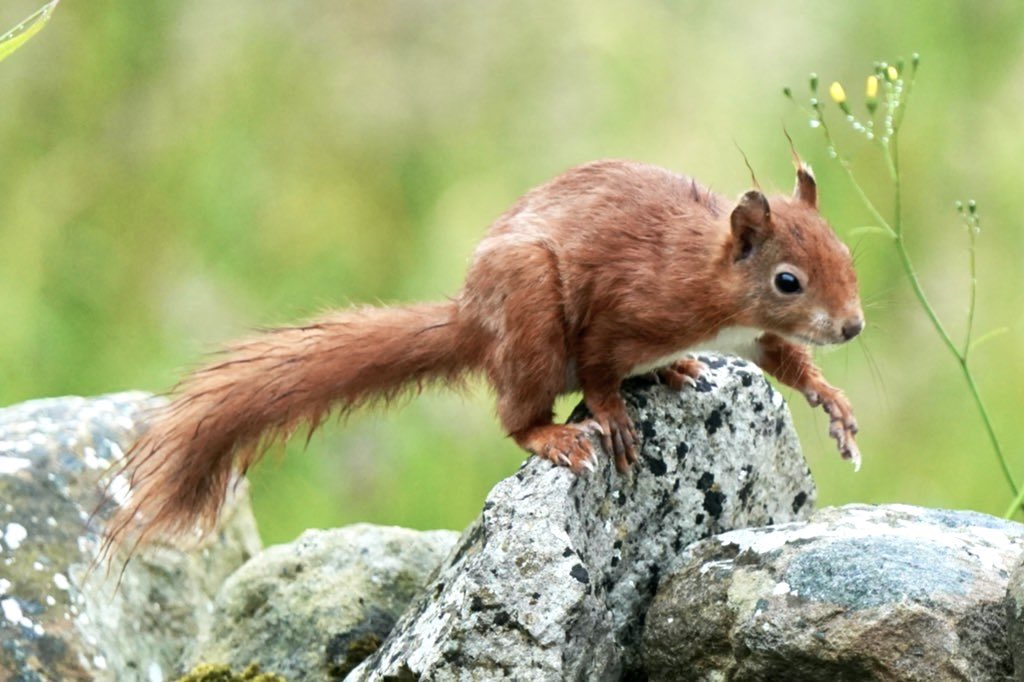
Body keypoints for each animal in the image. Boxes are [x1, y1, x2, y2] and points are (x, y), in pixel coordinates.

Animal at [104, 158, 863, 550]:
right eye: (788, 280)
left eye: (847, 255)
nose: (853, 326)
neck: (715, 297)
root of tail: (474, 318)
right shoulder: (623, 310)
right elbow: (598, 368)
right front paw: (614, 417)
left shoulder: (754, 336)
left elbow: (790, 363)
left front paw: (835, 406)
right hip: (530, 320)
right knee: (516, 414)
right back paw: (558, 434)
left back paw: (677, 368)